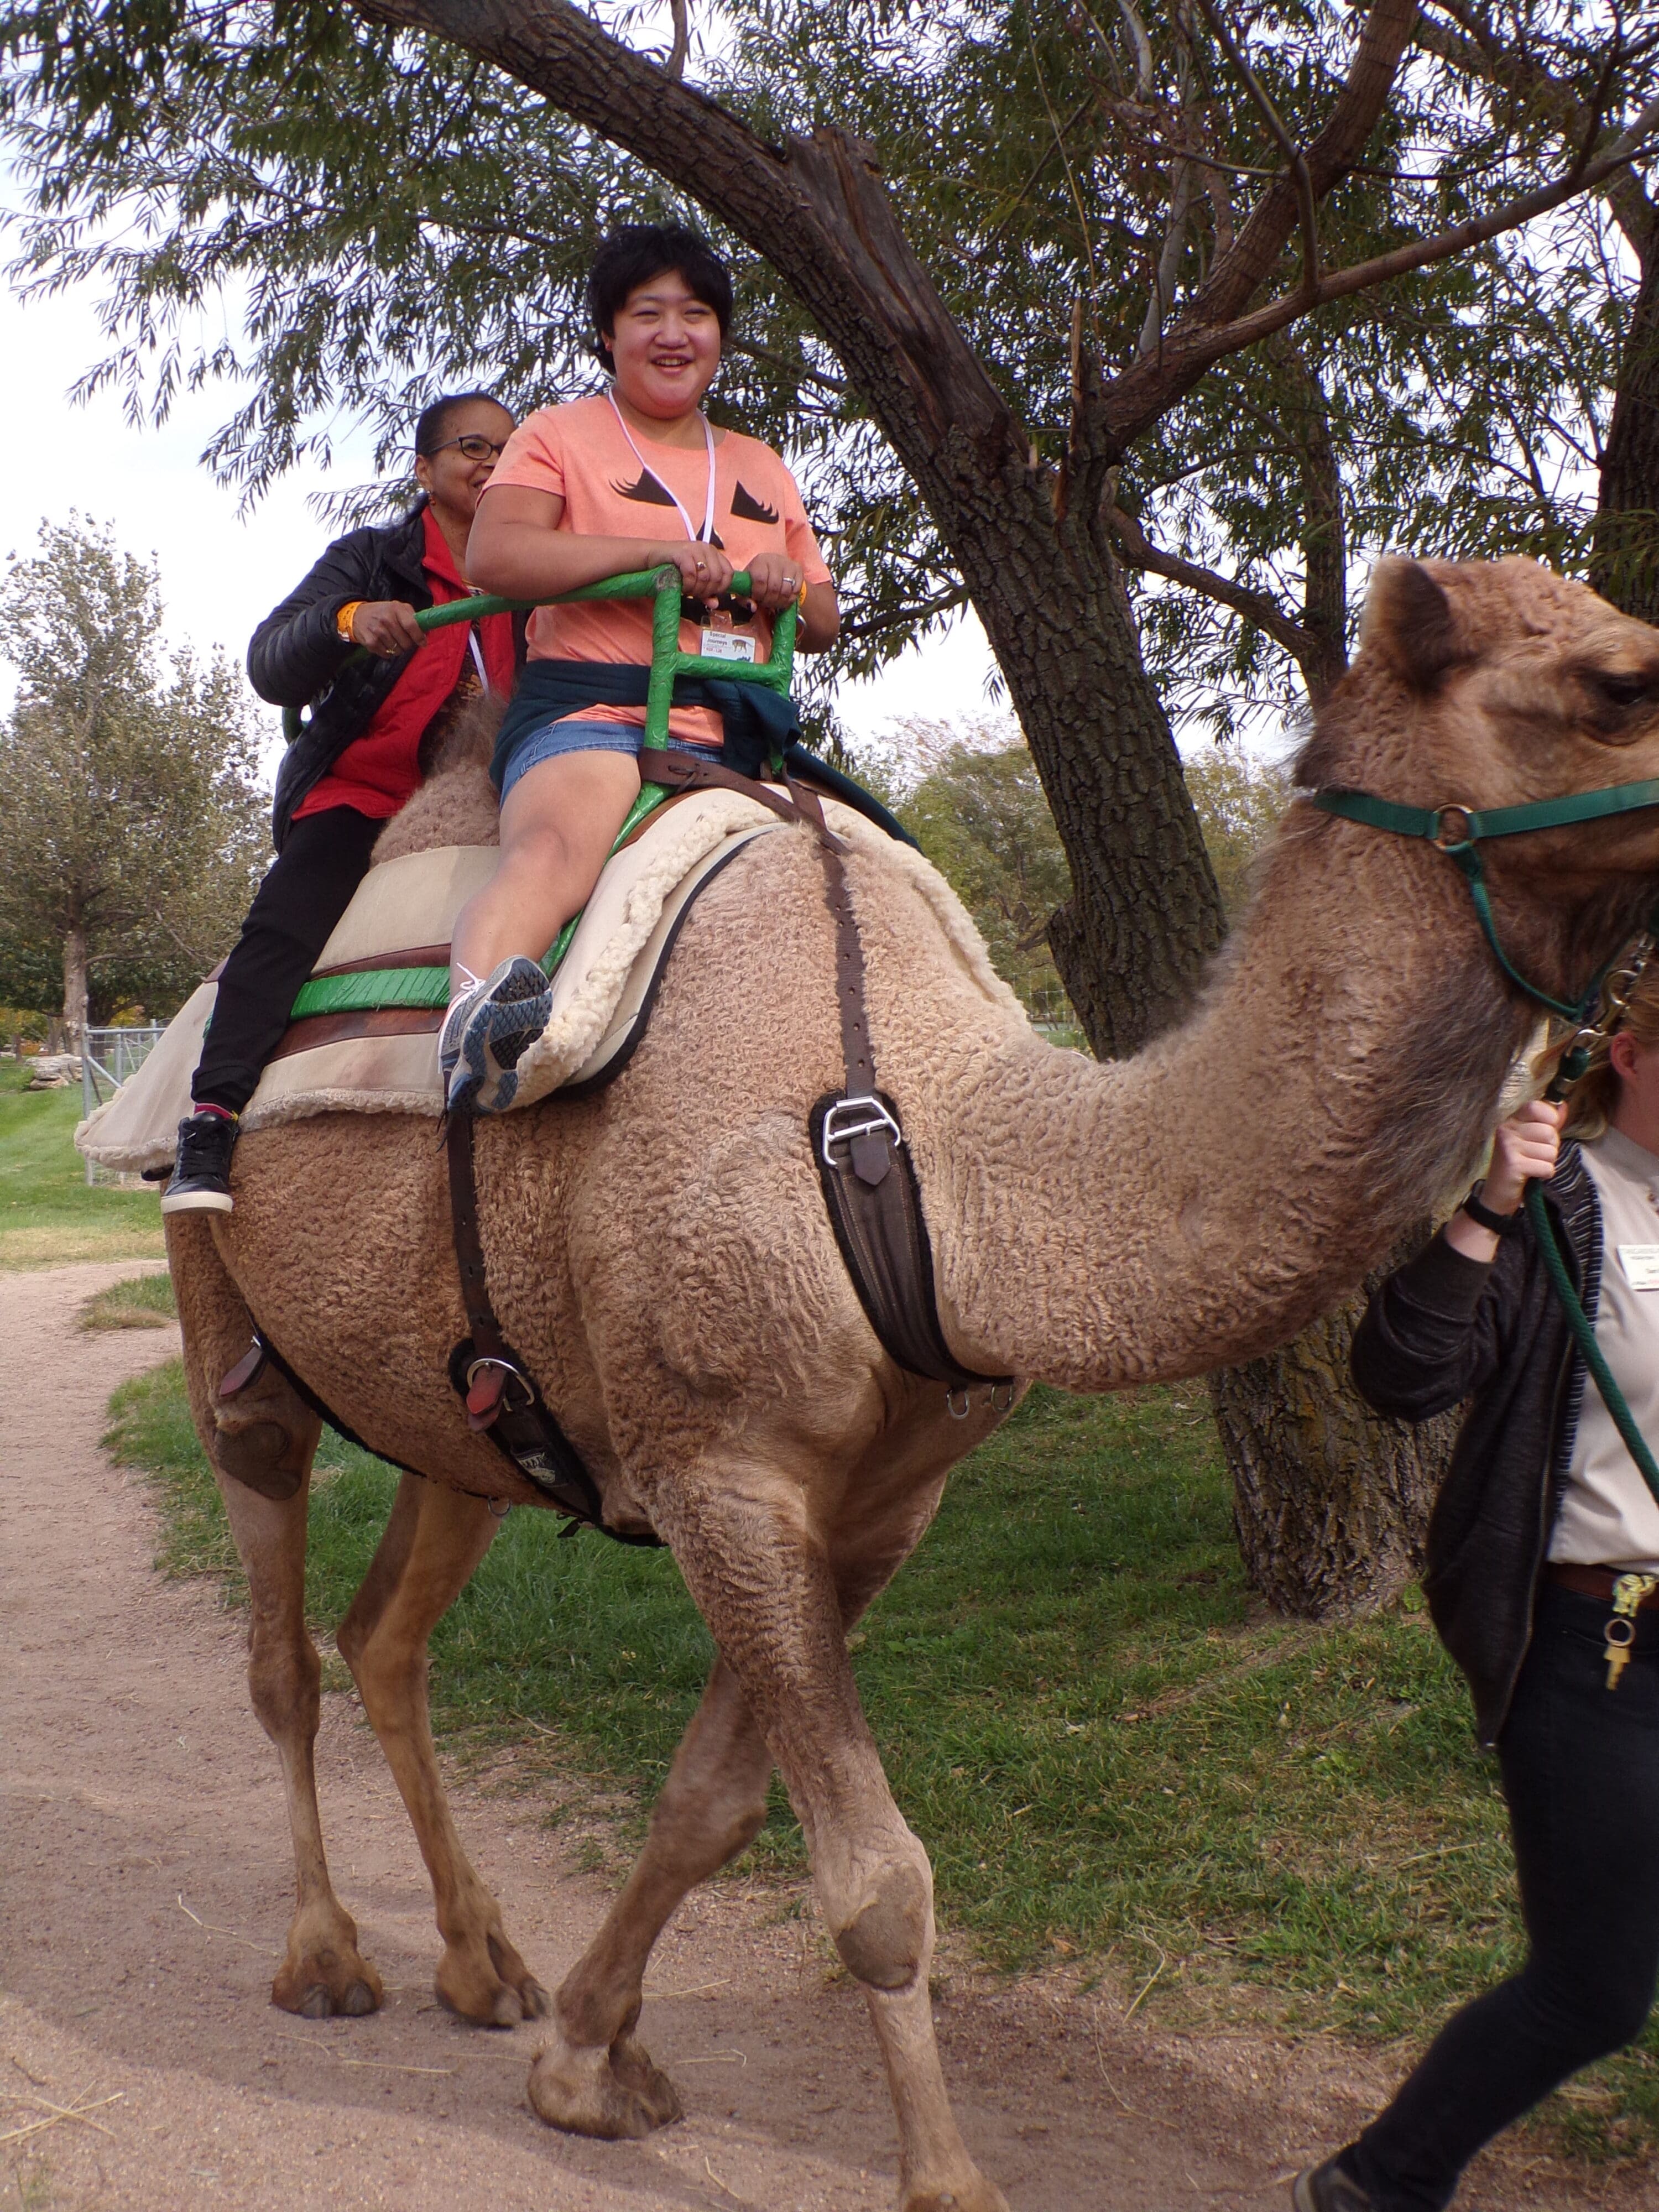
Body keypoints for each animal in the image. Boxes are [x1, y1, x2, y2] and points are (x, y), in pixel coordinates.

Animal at [162, 555, 1659, 2212]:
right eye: (1620, 686)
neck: (926, 1151)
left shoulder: (882, 1502)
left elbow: (711, 1808)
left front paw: (584, 2060)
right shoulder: (721, 1469)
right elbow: (874, 1875)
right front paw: (943, 2177)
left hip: (458, 1414)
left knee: (386, 1638)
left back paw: (485, 1965)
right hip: (226, 1321)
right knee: (280, 1639)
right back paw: (327, 1959)